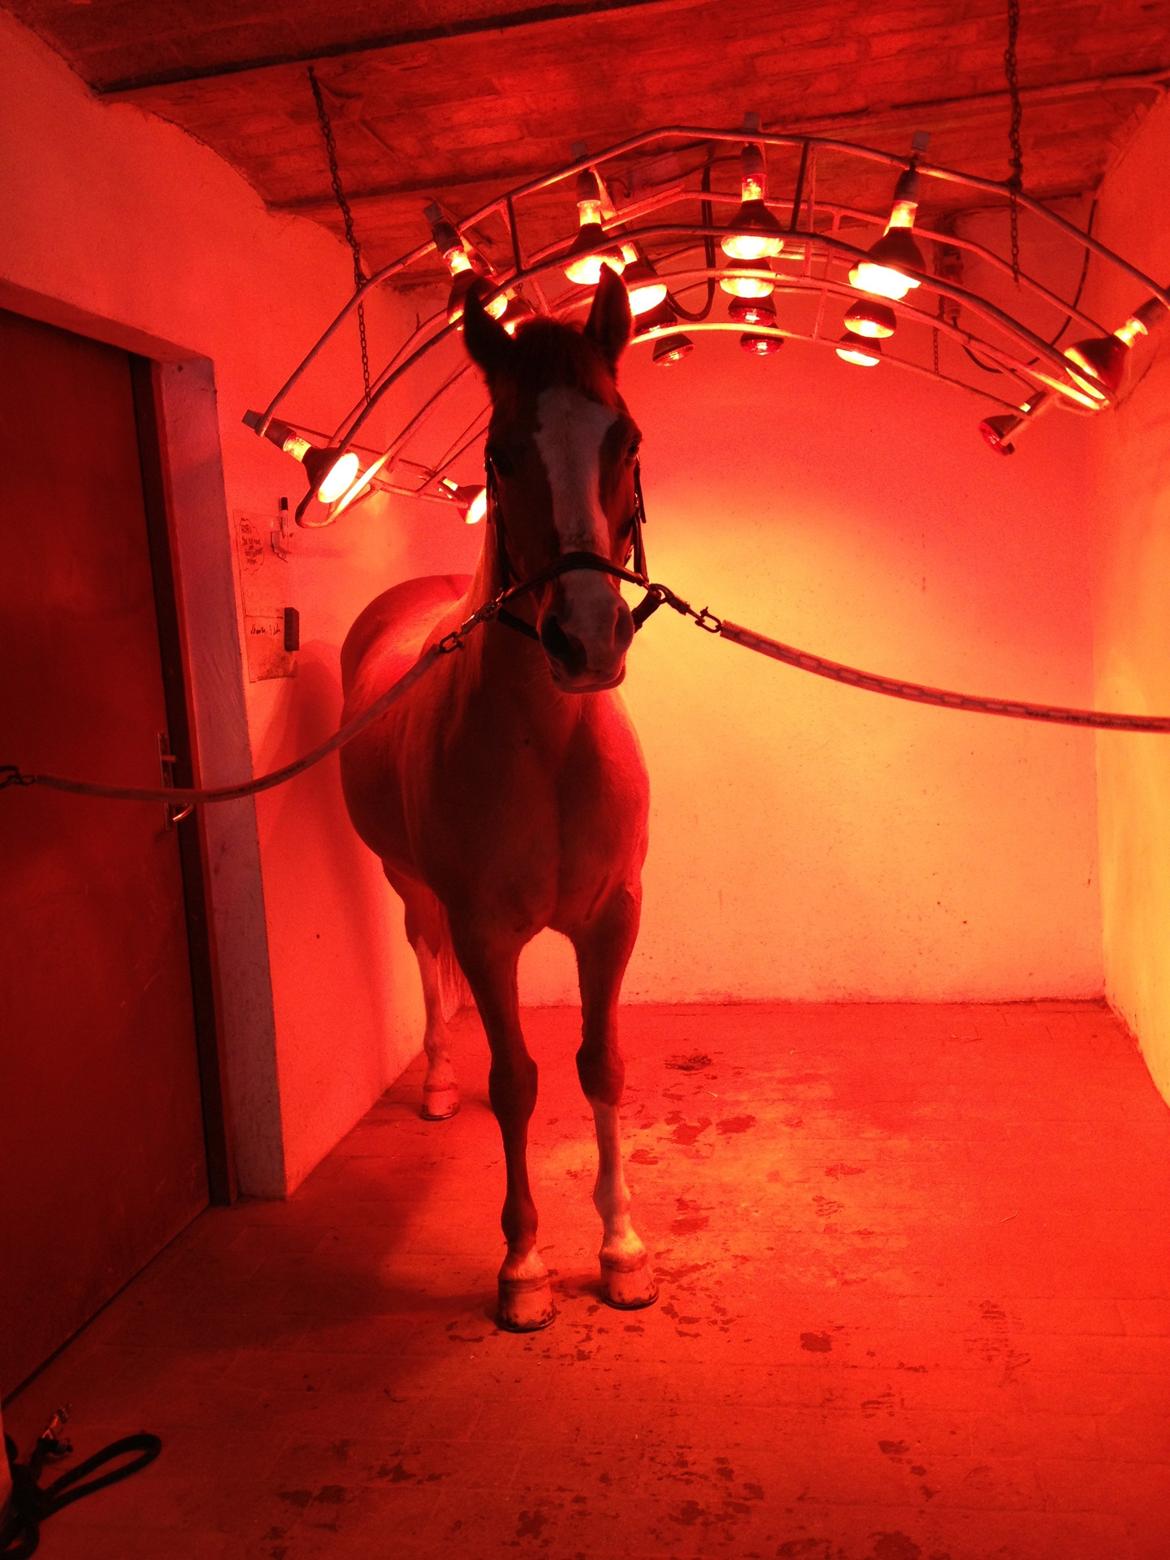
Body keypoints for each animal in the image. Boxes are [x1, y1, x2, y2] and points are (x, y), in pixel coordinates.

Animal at [338, 266, 657, 1331]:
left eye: (624, 438)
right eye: (500, 450)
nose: (586, 638)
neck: (548, 749)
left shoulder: (611, 919)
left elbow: (601, 1066)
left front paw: (622, 1250)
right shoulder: (485, 931)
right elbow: (516, 1082)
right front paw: (523, 1268)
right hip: (403, 877)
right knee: (424, 953)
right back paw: (440, 1080)